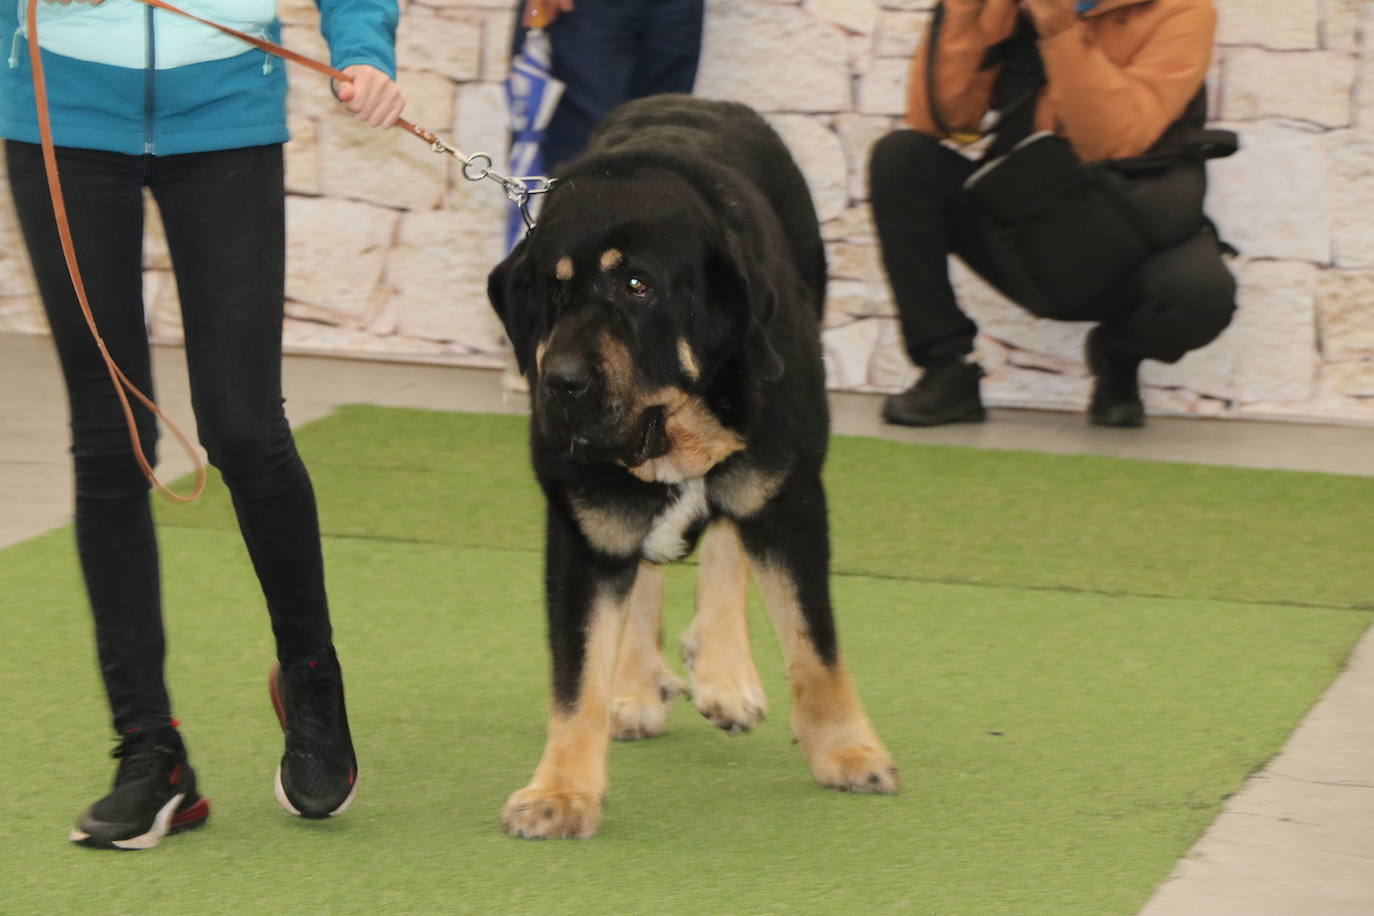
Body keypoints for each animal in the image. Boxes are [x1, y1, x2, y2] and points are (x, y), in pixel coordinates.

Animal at [489, 94, 895, 840]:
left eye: (638, 286)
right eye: (553, 294)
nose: (560, 383)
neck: (672, 422)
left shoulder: (790, 497)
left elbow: (814, 643)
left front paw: (847, 751)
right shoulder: (583, 525)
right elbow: (577, 675)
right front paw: (562, 790)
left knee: (726, 542)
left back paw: (726, 674)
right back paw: (636, 683)